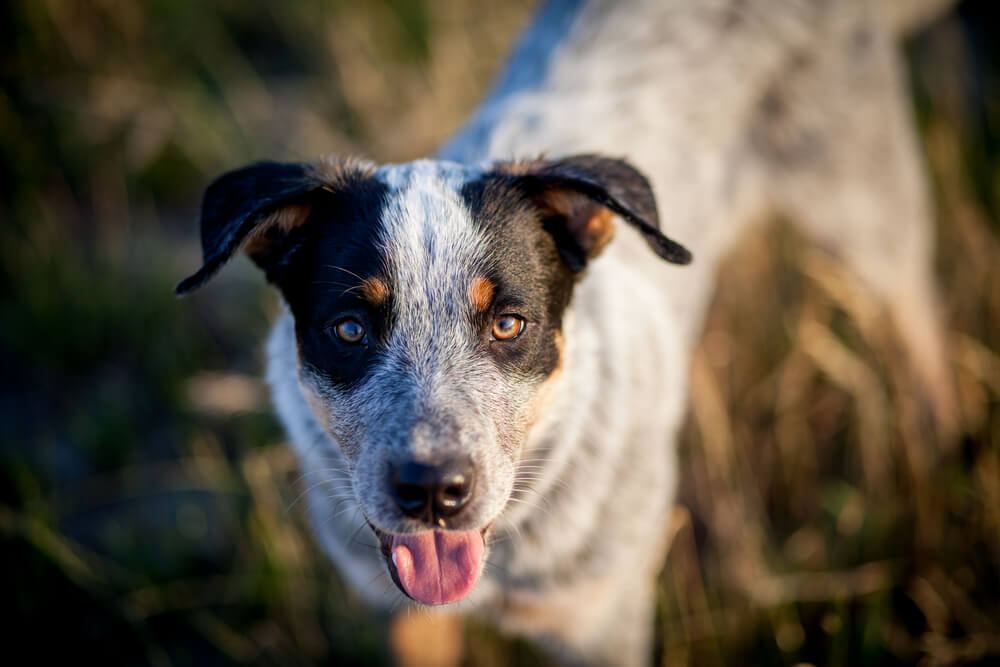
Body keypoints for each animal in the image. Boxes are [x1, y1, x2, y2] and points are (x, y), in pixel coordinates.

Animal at [178, 0, 952, 664]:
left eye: (508, 323)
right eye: (348, 328)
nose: (432, 491)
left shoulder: (602, 625)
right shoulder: (405, 615)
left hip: (866, 215)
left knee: (919, 334)